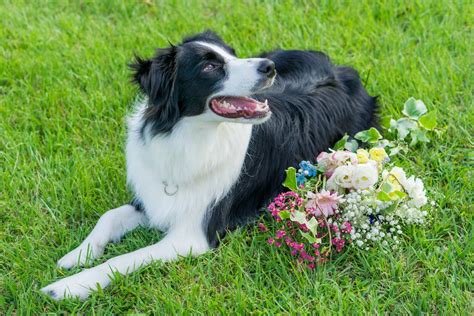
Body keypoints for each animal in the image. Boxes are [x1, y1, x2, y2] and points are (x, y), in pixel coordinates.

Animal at [40, 29, 378, 298]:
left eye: (232, 55)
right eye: (210, 66)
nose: (268, 68)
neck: (190, 137)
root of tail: (340, 69)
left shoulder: (192, 236)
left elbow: (123, 259)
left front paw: (69, 286)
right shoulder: (152, 198)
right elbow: (108, 216)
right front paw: (77, 256)